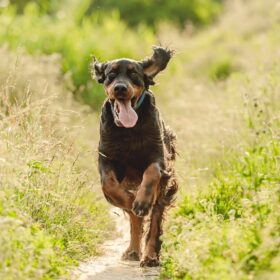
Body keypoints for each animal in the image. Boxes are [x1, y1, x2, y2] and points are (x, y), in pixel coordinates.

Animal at [92, 46, 177, 266]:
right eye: (111, 75)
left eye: (134, 75)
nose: (120, 88)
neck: (129, 130)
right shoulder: (106, 158)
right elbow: (109, 184)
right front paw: (130, 200)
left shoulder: (159, 157)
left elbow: (152, 172)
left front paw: (141, 202)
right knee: (134, 220)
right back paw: (132, 250)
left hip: (164, 191)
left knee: (155, 221)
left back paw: (150, 256)